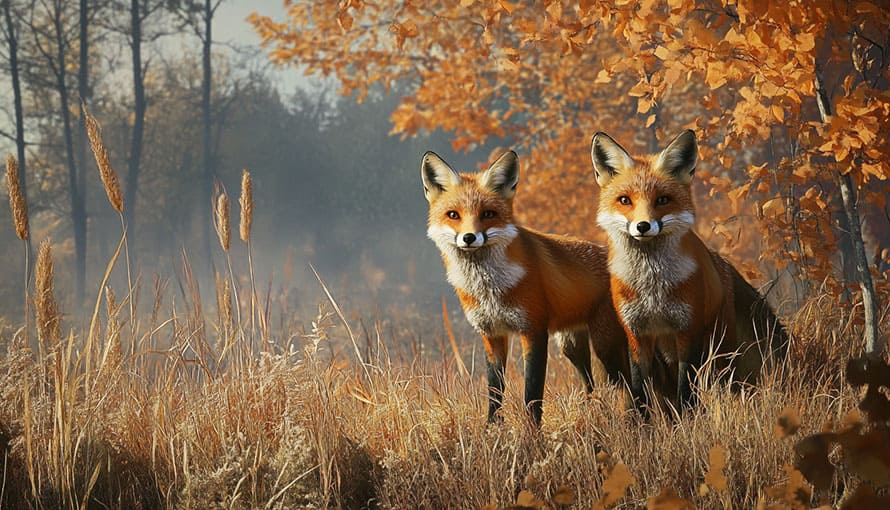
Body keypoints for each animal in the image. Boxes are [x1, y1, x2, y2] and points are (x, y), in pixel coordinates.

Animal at [421, 150, 629, 425]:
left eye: (488, 214)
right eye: (453, 215)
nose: (469, 238)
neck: (490, 289)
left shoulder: (533, 330)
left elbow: (532, 393)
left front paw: (532, 431)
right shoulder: (492, 334)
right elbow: (495, 391)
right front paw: (491, 427)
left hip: (606, 346)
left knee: (631, 385)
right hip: (572, 347)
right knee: (591, 385)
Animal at [590, 129, 787, 415]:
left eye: (662, 200)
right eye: (625, 200)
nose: (643, 226)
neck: (653, 289)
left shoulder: (688, 331)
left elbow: (686, 389)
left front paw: (687, 420)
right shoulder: (635, 334)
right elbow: (639, 391)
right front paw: (640, 424)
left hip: (721, 344)